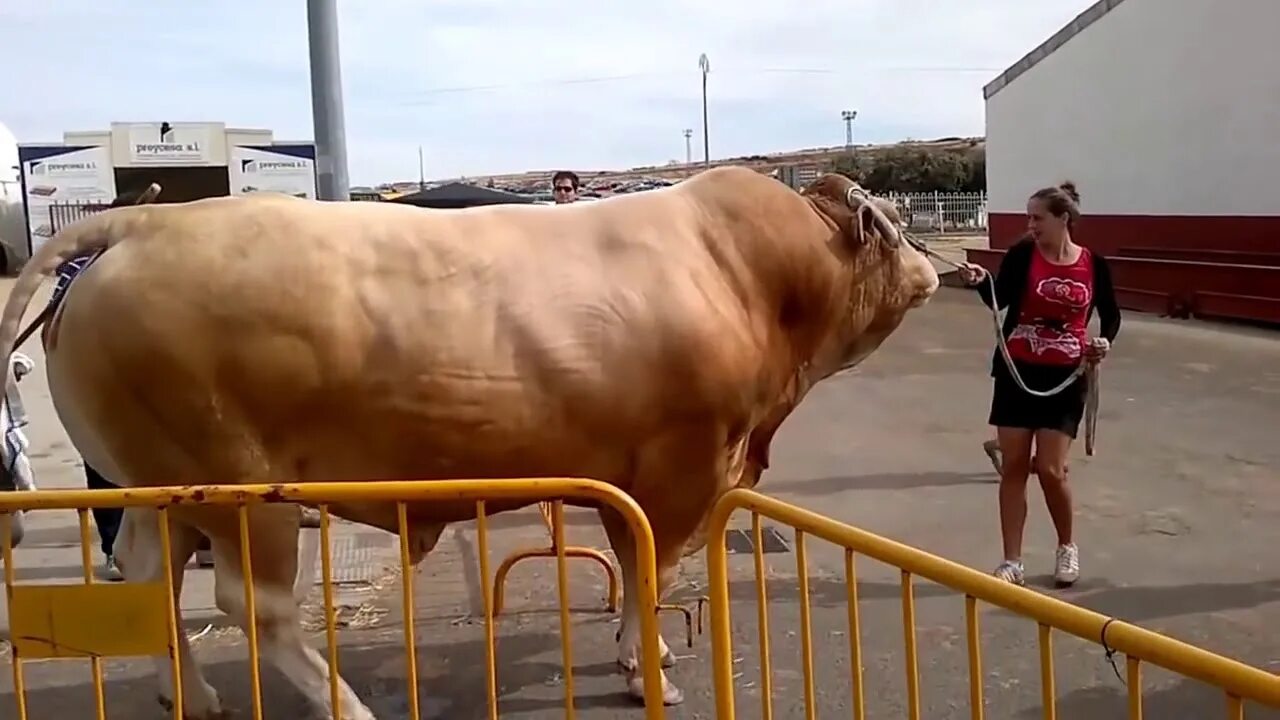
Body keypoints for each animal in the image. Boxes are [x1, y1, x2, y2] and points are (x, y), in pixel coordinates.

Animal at [2, 166, 942, 712]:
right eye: (895, 226)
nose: (942, 270)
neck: (749, 276)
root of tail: (140, 224)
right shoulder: (682, 467)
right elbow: (651, 570)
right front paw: (651, 670)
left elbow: (636, 570)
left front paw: (638, 656)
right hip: (238, 491)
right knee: (252, 607)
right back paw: (346, 707)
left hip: (161, 489)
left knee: (147, 578)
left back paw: (188, 695)